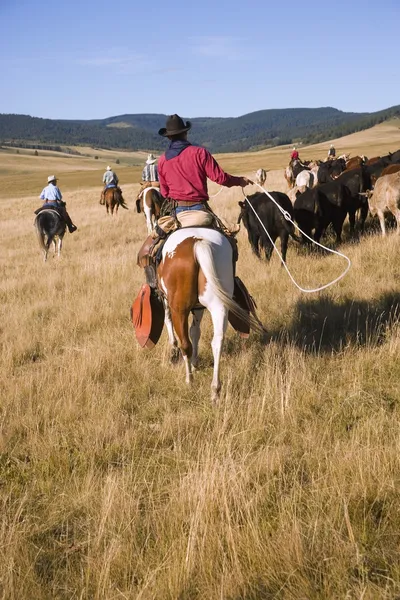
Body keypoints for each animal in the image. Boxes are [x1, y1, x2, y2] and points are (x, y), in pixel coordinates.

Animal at [157, 227, 266, 400]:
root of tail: (198, 243)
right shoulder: (199, 308)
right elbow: (195, 331)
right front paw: (195, 362)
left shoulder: (168, 301)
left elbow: (170, 324)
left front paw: (176, 353)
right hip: (218, 305)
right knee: (217, 341)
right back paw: (215, 389)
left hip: (179, 309)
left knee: (185, 344)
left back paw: (189, 380)